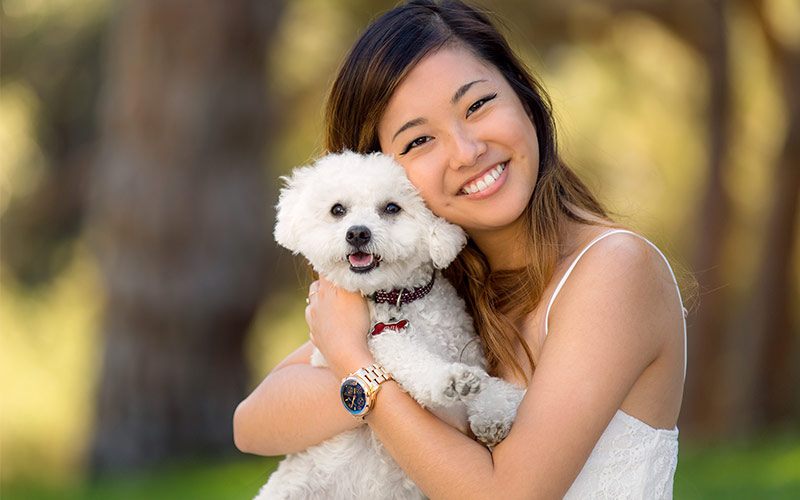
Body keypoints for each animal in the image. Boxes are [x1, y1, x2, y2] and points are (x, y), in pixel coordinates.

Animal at [256, 152, 528, 500]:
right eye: (337, 210)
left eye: (391, 208)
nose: (357, 233)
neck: (397, 297)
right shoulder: (380, 340)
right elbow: (413, 360)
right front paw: (450, 381)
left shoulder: (470, 352)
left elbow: (497, 388)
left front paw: (492, 414)